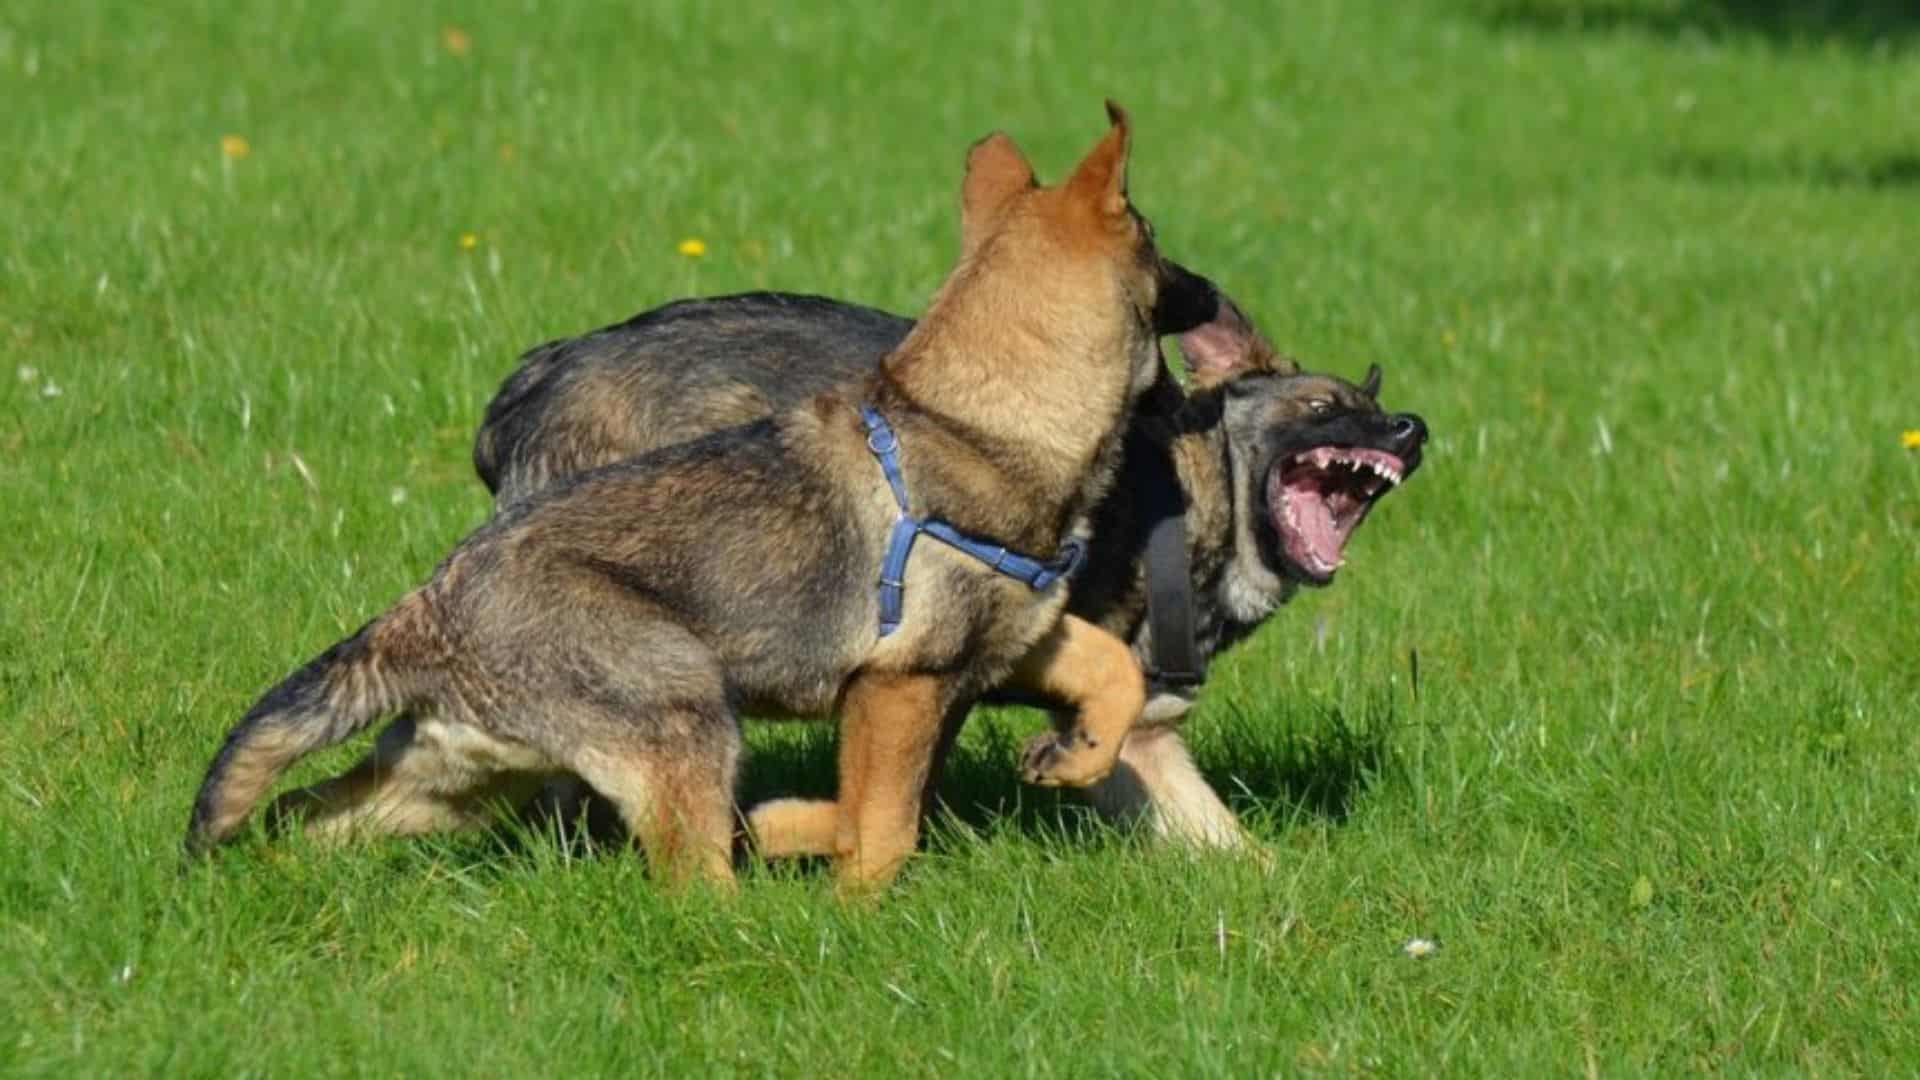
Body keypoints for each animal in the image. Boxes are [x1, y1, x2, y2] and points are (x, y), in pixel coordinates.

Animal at [183, 105, 1198, 887]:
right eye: (1159, 245)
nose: (1213, 294)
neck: (975, 419)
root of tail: (424, 607)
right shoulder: (900, 686)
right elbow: (885, 828)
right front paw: (851, 906)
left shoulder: (1012, 641)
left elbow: (1114, 668)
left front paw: (1077, 756)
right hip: (685, 709)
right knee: (696, 888)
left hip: (451, 782)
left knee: (301, 815)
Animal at [466, 284, 1428, 849]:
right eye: (1325, 407)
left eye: (1373, 404)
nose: (1412, 427)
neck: (1191, 492)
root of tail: (537, 376)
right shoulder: (940, 673)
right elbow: (900, 799)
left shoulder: (1139, 736)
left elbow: (1227, 843)